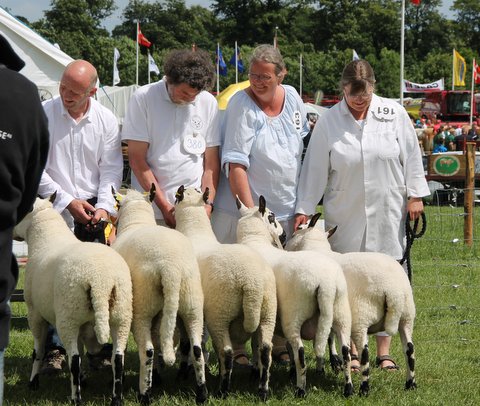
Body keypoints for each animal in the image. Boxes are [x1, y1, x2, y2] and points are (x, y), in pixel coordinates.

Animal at [13, 195, 133, 404]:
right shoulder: (81, 323)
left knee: (74, 359)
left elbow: (38, 351)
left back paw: (76, 398)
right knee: (117, 359)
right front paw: (83, 380)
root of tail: (101, 280)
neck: (45, 237)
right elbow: (81, 349)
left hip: (68, 316)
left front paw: (33, 382)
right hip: (120, 316)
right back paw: (116, 398)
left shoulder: (35, 313)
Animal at [113, 189, 209, 404]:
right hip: (191, 303)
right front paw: (157, 377)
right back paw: (201, 394)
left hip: (143, 306)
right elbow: (159, 340)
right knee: (196, 348)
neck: (136, 220)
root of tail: (170, 267)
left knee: (147, 349)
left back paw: (144, 394)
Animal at [174, 186, 276, 402]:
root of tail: (252, 284)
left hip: (220, 313)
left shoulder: (186, 312)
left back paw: (223, 390)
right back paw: (262, 391)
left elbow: (187, 345)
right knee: (265, 350)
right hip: (268, 312)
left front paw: (182, 374)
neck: (195, 230)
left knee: (227, 352)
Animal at [236, 195, 352, 398]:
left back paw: (300, 389)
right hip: (340, 313)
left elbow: (258, 345)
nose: (283, 236)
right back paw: (349, 389)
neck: (254, 240)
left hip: (294, 315)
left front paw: (257, 373)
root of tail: (327, 284)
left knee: (300, 352)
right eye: (272, 217)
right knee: (345, 350)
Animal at [284, 213, 416, 396]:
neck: (316, 248)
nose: (284, 244)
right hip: (407, 316)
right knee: (410, 350)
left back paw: (363, 389)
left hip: (362, 316)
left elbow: (327, 338)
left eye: (299, 229)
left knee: (365, 353)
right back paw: (410, 384)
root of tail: (393, 290)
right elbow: (327, 336)